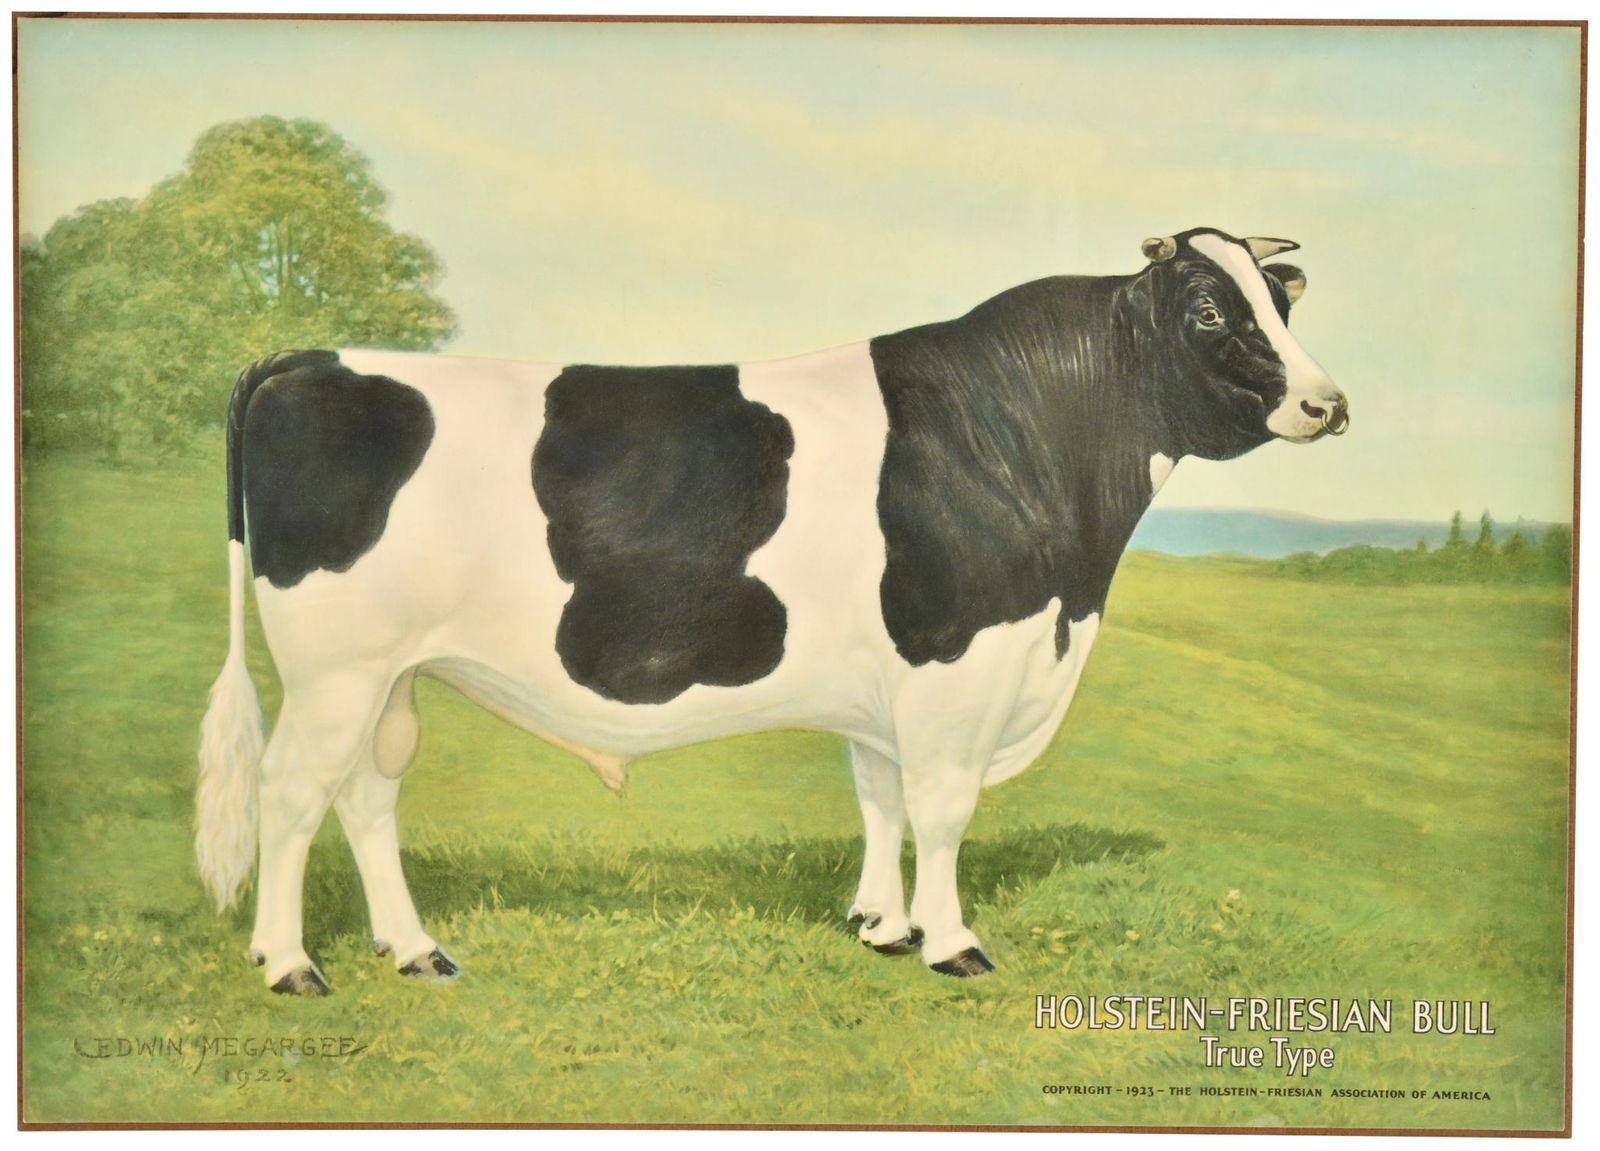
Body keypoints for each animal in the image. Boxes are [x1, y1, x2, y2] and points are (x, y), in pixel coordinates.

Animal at [196, 226, 1348, 994]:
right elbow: (941, 805)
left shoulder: (892, 676)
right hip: (336, 666)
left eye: (1280, 304)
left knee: (365, 795)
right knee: (292, 791)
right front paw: (952, 943)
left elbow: (880, 797)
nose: (1328, 402)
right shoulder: (955, 656)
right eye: (1210, 309)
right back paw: (289, 961)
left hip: (388, 673)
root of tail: (308, 357)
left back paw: (414, 948)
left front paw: (881, 923)